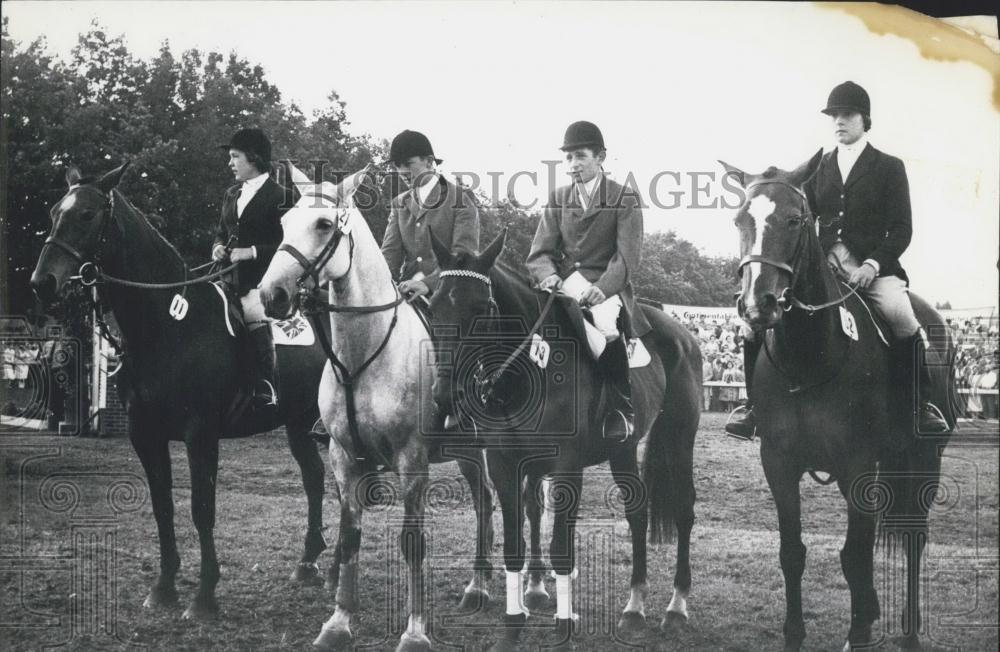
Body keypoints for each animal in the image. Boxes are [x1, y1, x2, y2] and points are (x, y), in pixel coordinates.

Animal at [256, 167, 494, 652]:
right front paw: (339, 621)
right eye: (285, 222)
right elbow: (350, 536)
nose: (273, 295)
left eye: (324, 224)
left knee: (487, 502)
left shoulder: (411, 460)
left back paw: (481, 586)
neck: (362, 358)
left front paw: (415, 630)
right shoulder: (344, 456)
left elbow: (412, 541)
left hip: (476, 449)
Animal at [430, 232, 704, 648]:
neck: (525, 373)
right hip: (623, 449)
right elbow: (514, 546)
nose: (447, 396)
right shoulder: (504, 464)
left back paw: (676, 607)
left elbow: (560, 548)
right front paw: (513, 625)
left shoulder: (565, 467)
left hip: (680, 436)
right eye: (433, 308)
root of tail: (681, 333)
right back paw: (634, 607)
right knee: (637, 513)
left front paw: (563, 623)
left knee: (684, 510)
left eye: (483, 307)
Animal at [720, 155, 960, 648]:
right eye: (739, 221)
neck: (809, 358)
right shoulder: (779, 463)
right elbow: (792, 551)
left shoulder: (857, 467)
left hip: (924, 458)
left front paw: (860, 634)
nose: (757, 306)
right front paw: (795, 636)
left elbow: (855, 556)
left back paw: (907, 632)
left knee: (913, 538)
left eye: (795, 219)